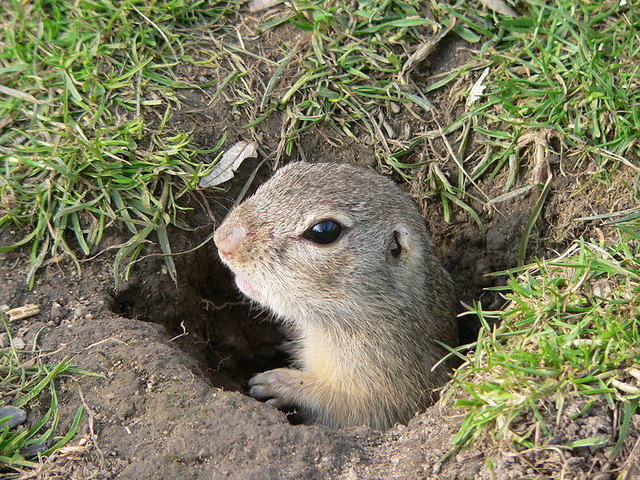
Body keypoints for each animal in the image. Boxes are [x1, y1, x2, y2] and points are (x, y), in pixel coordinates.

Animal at [212, 163, 458, 430]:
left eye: (325, 231)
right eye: (286, 170)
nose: (223, 239)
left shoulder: (382, 378)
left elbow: (344, 403)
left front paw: (279, 382)